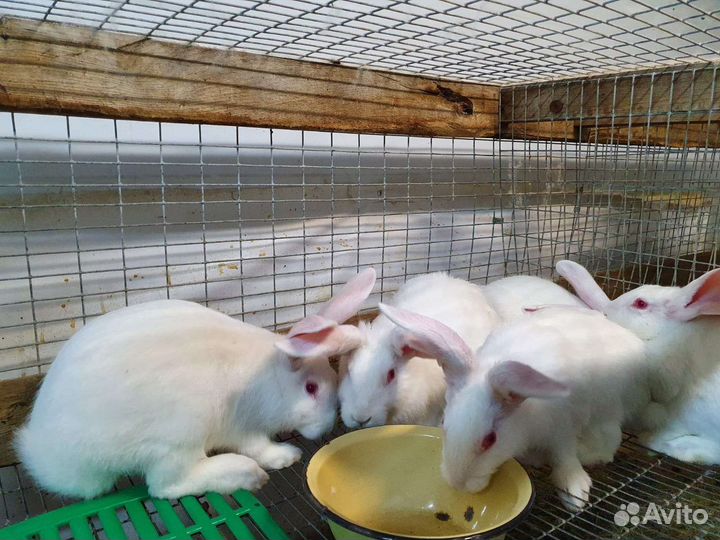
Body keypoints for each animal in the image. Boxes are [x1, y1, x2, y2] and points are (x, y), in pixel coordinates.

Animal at [15, 268, 376, 500]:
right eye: (311, 389)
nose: (327, 426)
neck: (266, 376)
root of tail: (49, 456)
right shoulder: (242, 427)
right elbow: (259, 446)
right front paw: (286, 455)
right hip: (178, 435)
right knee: (165, 486)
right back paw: (245, 474)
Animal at [379, 302, 651, 511]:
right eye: (445, 423)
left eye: (490, 440)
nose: (458, 483)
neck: (527, 419)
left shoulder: (562, 428)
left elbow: (564, 456)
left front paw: (574, 491)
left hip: (608, 407)